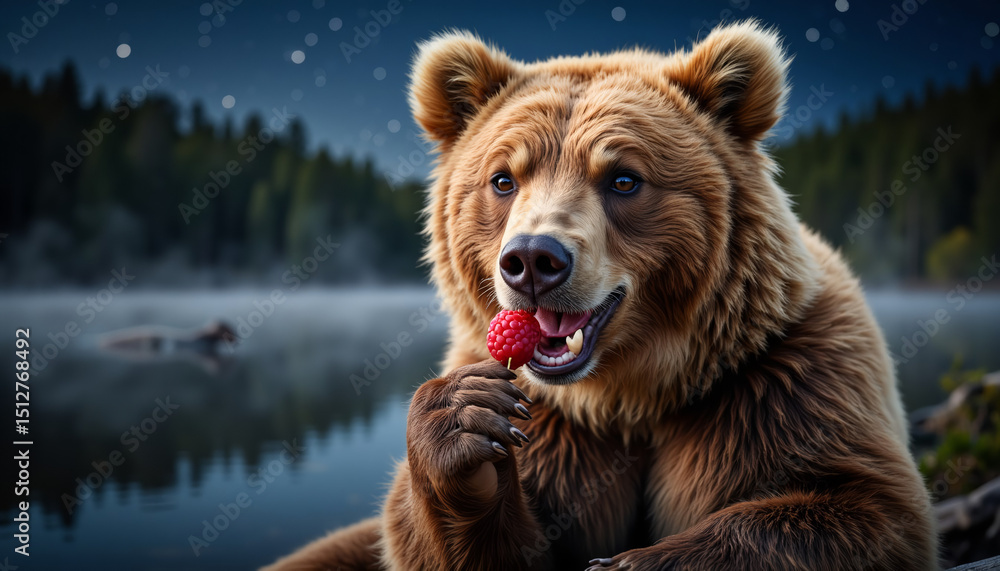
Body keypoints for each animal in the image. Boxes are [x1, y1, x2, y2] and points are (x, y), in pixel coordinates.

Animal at [263, 20, 937, 570]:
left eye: (623, 178)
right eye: (503, 178)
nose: (533, 260)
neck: (629, 395)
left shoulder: (782, 384)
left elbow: (859, 507)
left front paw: (632, 563)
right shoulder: (555, 433)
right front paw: (462, 418)